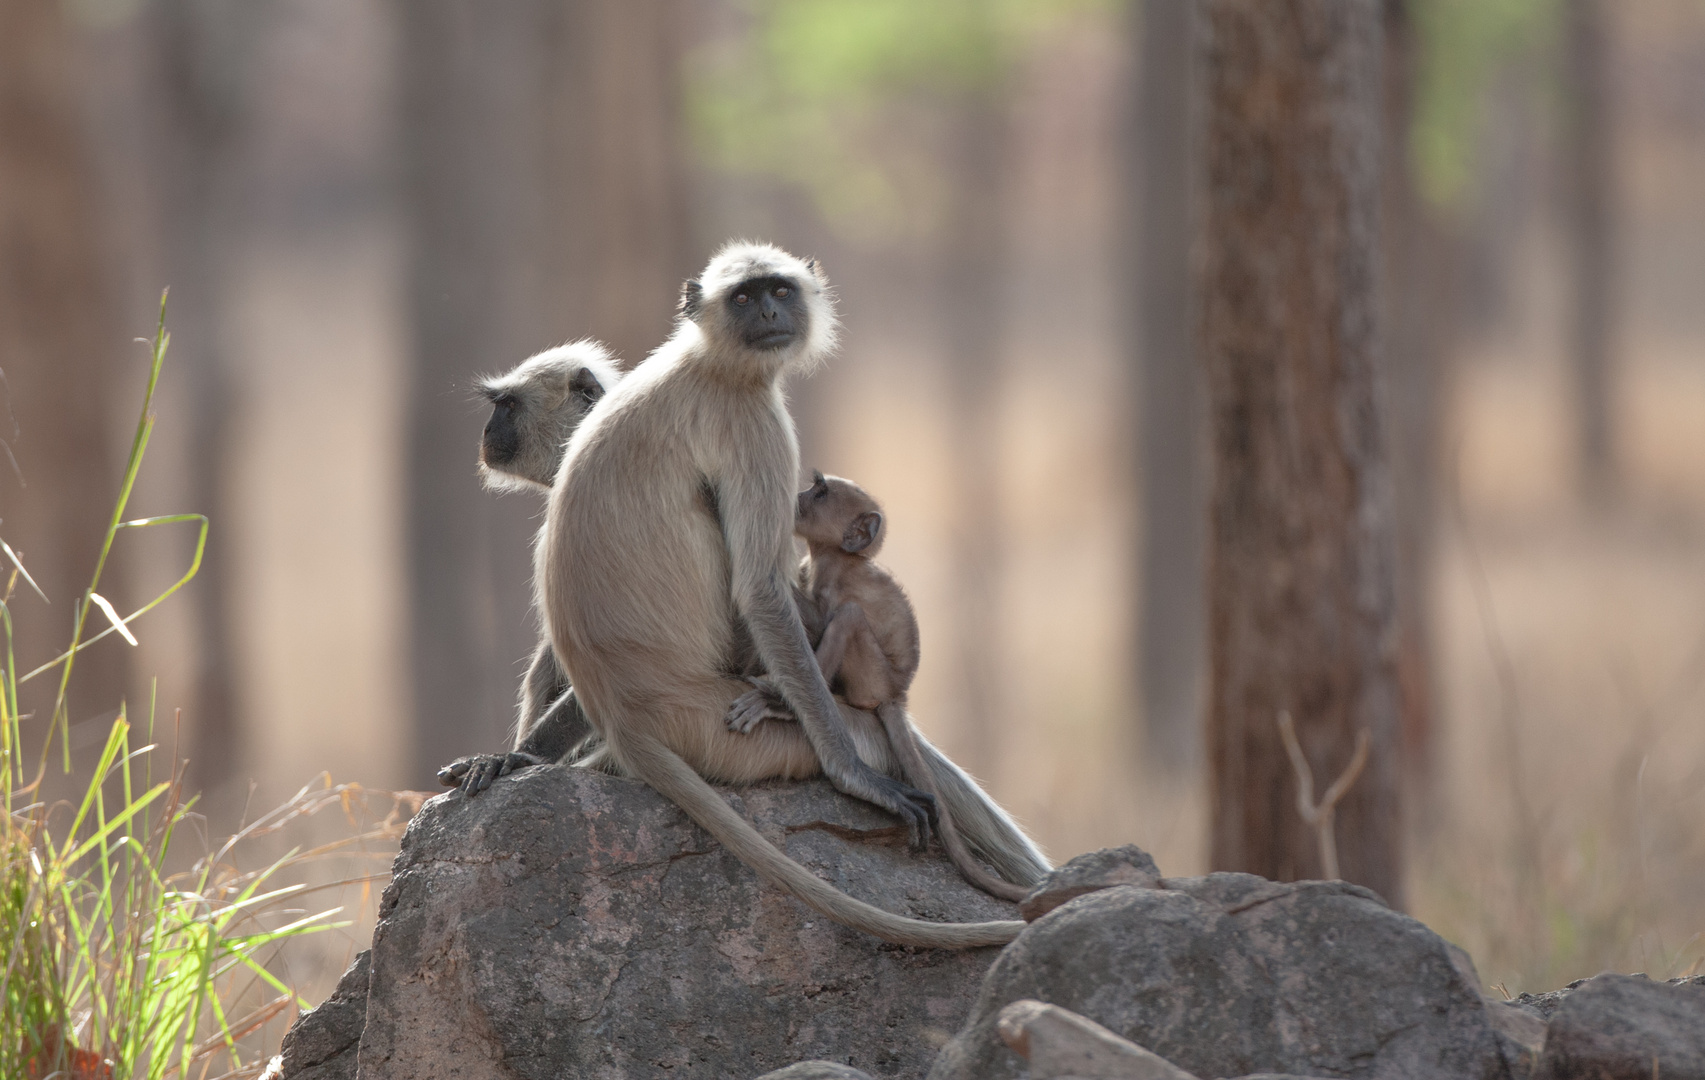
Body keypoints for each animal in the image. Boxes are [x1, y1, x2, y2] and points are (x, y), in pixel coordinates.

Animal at [726, 470, 1029, 900]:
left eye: (820, 493)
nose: (797, 496)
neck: (839, 558)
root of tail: (897, 694)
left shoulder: (832, 581)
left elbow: (819, 614)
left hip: (871, 675)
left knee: (849, 617)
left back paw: (780, 703)